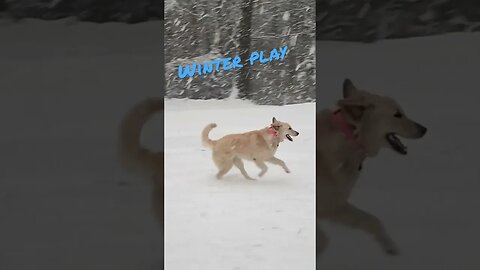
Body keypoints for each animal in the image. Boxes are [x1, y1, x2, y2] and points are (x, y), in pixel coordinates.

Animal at [316, 79, 426, 256]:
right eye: (397, 114)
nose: (424, 129)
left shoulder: (335, 206)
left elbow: (373, 221)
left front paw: (390, 247)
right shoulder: (331, 206)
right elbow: (324, 241)